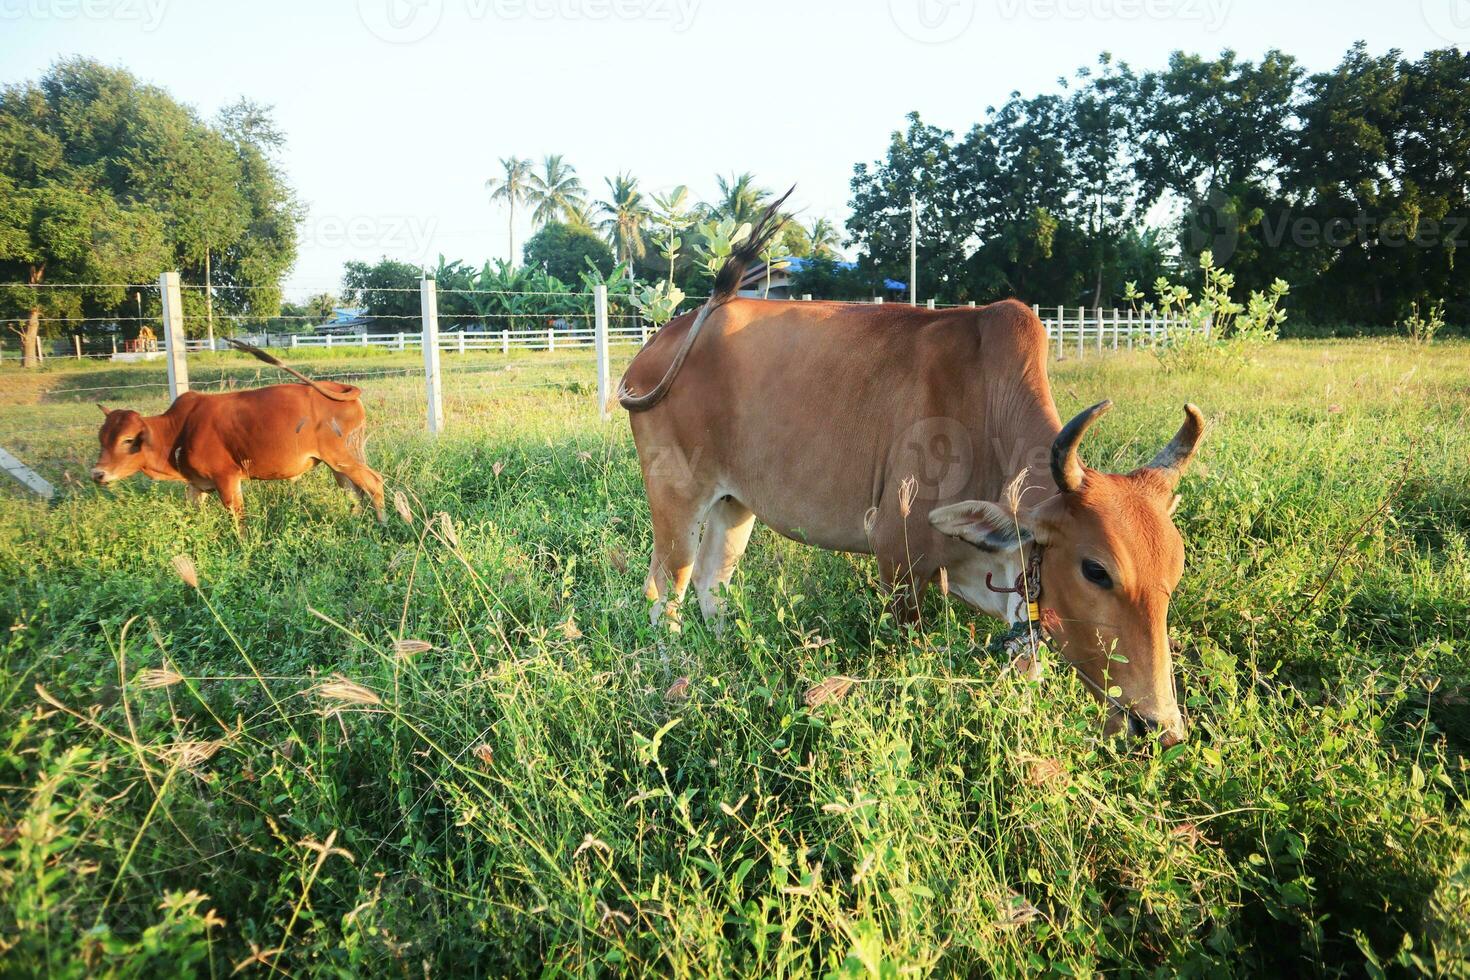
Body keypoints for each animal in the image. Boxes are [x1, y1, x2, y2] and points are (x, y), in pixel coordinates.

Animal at [91, 345, 385, 528]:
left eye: (128, 439)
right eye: (101, 438)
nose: (97, 474)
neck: (178, 431)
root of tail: (338, 386)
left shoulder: (227, 478)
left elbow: (239, 521)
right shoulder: (197, 485)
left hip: (343, 457)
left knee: (374, 482)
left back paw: (383, 524)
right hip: (337, 464)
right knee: (355, 493)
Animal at [620, 199, 1205, 752]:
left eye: (1174, 573)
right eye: (1096, 570)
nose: (1158, 726)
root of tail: (667, 337)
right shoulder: (898, 559)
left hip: (734, 504)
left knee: (711, 583)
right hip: (675, 496)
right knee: (663, 592)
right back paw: (673, 677)